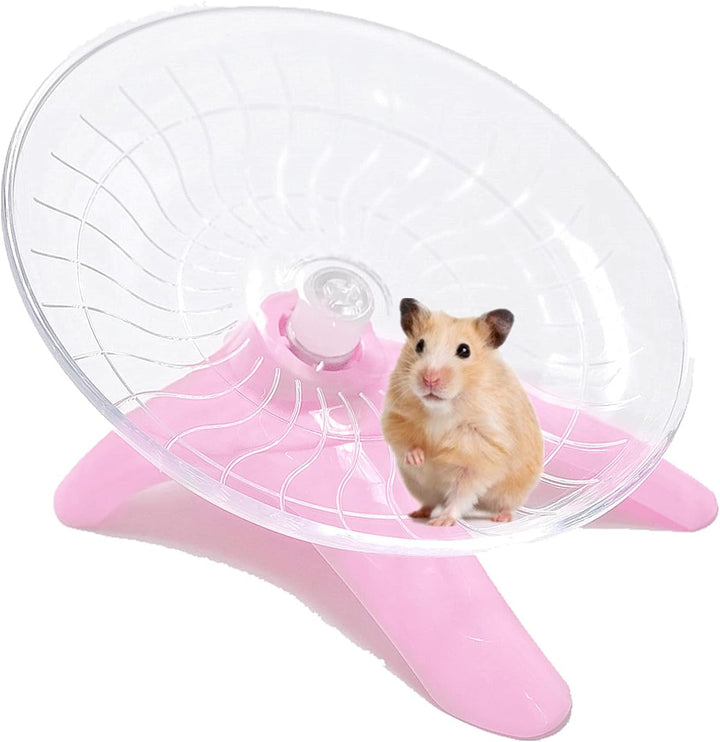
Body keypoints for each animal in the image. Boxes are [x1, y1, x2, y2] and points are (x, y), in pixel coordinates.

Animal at [380, 298, 543, 527]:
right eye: (419, 345)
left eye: (465, 350)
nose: (430, 378)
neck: (441, 409)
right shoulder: (395, 415)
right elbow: (403, 440)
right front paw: (419, 458)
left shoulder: (482, 451)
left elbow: (462, 492)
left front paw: (442, 522)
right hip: (420, 487)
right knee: (430, 502)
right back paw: (417, 513)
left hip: (513, 491)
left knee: (504, 505)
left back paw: (501, 518)